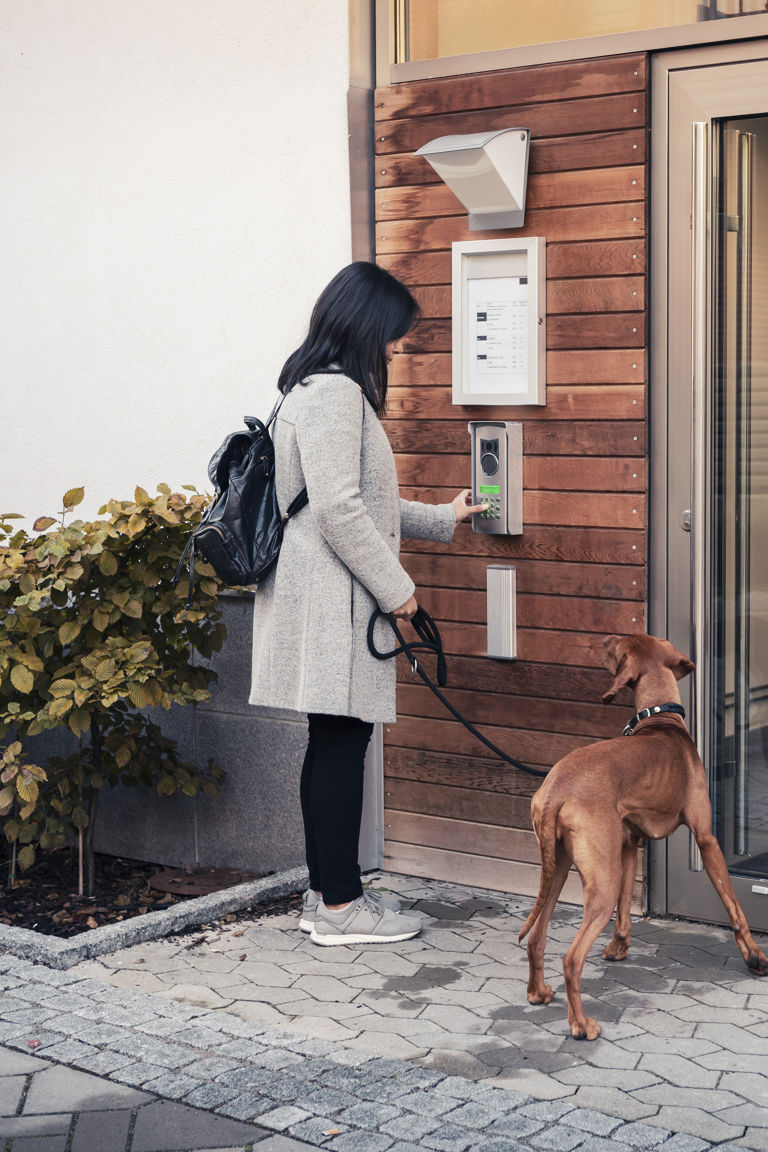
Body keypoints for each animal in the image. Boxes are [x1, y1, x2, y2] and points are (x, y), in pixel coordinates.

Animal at [519, 633, 768, 1040]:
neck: (659, 720)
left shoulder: (628, 844)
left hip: (559, 867)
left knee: (537, 937)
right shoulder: (707, 839)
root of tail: (555, 788)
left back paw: (538, 993)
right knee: (571, 959)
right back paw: (582, 1025)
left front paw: (619, 948)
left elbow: (625, 909)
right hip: (597, 883)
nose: (602, 638)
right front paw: (754, 957)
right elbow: (734, 907)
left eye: (618, 646)